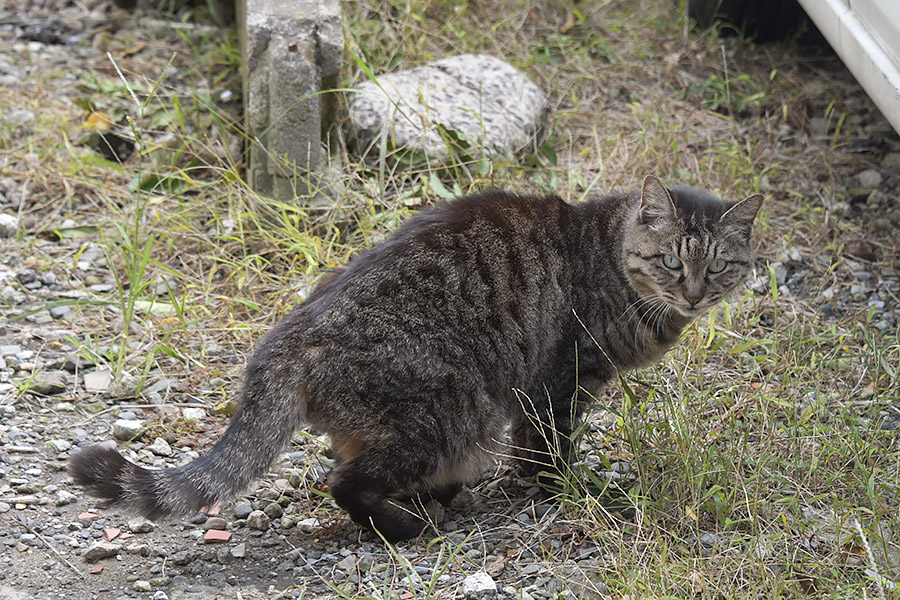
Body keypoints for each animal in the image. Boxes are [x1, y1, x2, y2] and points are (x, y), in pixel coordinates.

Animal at [68, 176, 760, 540]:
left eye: (718, 265)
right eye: (670, 261)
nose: (694, 294)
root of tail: (284, 339)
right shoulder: (558, 383)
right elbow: (547, 449)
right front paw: (565, 491)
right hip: (451, 414)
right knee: (345, 482)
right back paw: (406, 524)